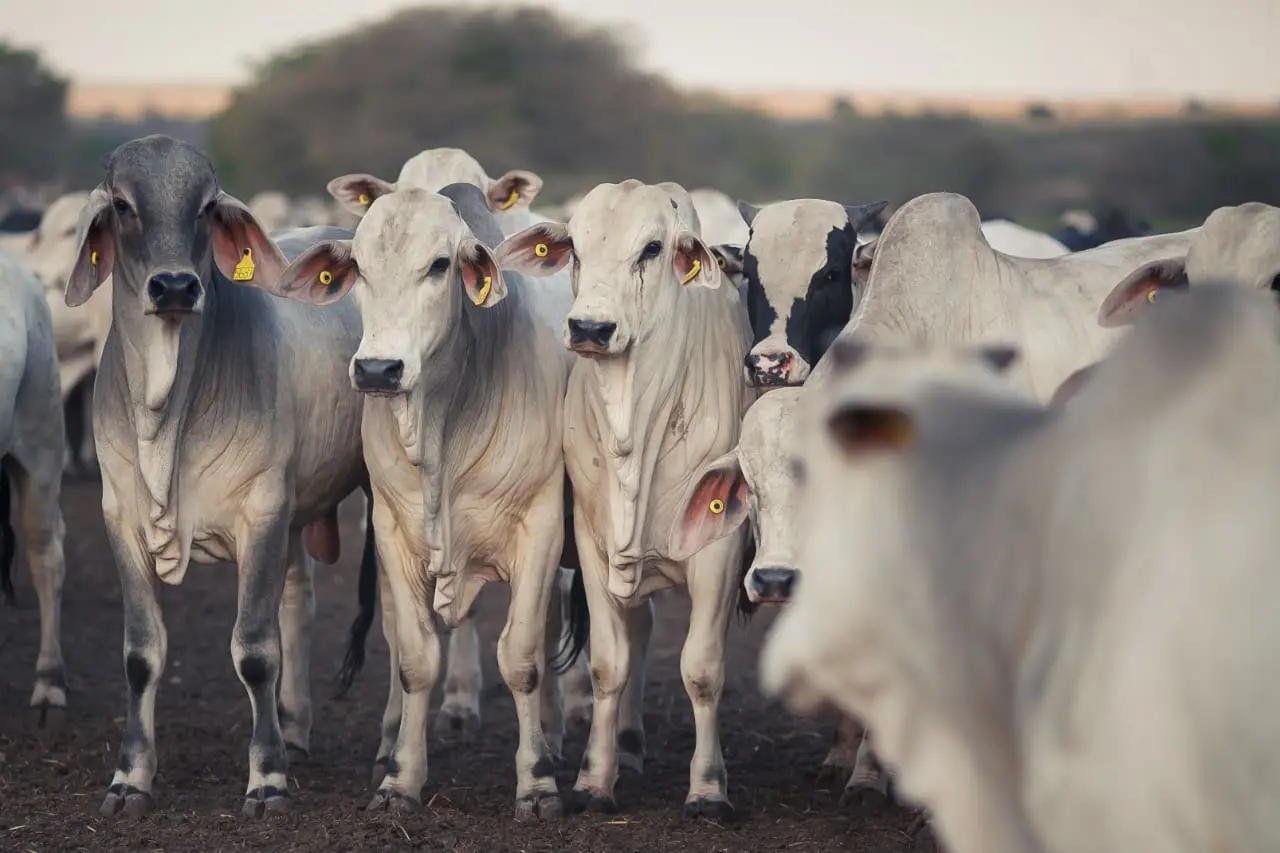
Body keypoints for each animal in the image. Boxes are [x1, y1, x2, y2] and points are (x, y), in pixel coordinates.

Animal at [70, 137, 376, 819]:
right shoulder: (119, 520)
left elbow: (255, 652)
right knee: (298, 601)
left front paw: (267, 779)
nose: (175, 286)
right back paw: (294, 729)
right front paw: (130, 777)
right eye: (123, 204)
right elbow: (141, 653)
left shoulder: (258, 512)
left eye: (207, 206)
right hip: (296, 517)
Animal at [488, 178, 747, 819]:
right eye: (575, 249)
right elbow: (609, 664)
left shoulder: (720, 551)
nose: (590, 329)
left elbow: (702, 669)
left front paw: (708, 789)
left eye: (652, 248)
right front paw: (592, 780)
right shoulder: (591, 538)